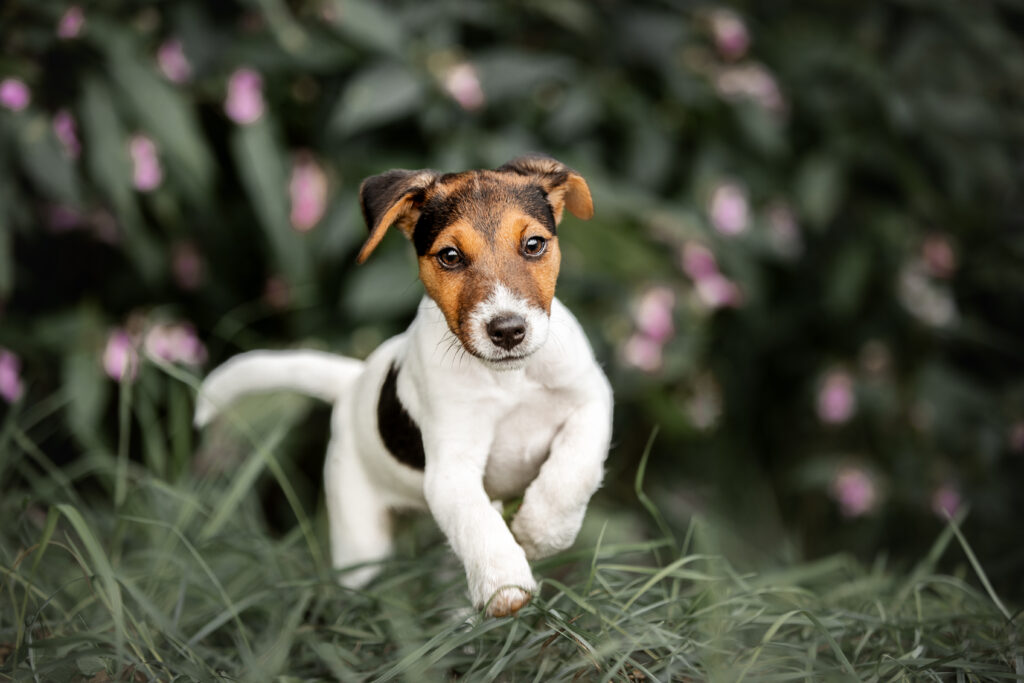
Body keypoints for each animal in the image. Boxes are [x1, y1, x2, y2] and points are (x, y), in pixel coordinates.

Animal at [195, 156, 610, 618]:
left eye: (534, 244)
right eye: (450, 256)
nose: (507, 330)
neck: (509, 380)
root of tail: (354, 382)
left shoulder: (592, 400)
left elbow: (572, 472)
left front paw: (541, 531)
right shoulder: (449, 469)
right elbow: (478, 522)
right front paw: (505, 585)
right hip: (360, 537)